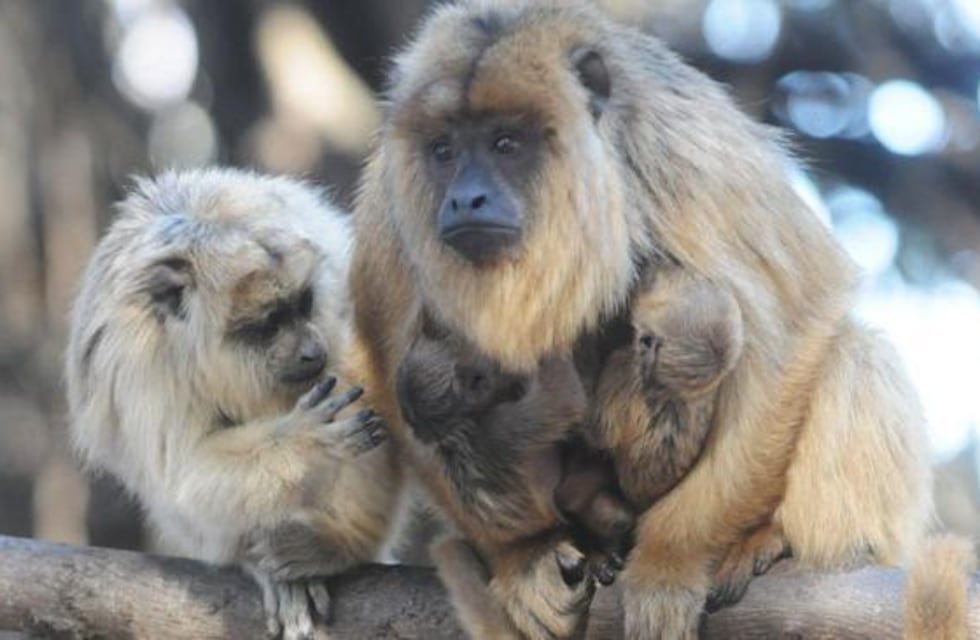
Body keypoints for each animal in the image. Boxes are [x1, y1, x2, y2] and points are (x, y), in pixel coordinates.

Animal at [65, 168, 399, 640]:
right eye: (269, 323)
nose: (311, 350)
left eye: (303, 303)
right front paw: (306, 442)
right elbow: (182, 473)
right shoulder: (138, 363)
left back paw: (341, 544)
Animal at [348, 2, 933, 638]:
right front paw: (525, 553)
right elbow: (386, 371)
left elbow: (800, 316)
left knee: (856, 351)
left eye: (506, 143)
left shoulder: (684, 148)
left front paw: (670, 562)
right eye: (444, 150)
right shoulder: (389, 202)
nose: (464, 199)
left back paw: (779, 541)